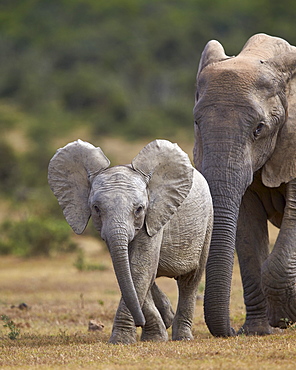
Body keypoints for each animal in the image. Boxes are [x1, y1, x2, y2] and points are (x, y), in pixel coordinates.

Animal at [48, 139, 213, 344]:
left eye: (139, 209)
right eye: (96, 208)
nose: (139, 322)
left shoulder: (154, 216)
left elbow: (139, 268)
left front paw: (123, 340)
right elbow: (133, 271)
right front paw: (155, 336)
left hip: (207, 223)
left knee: (189, 281)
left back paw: (182, 337)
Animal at [193, 33, 296, 336]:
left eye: (258, 129)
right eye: (196, 123)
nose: (231, 331)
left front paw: (284, 317)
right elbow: (247, 229)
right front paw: (258, 331)